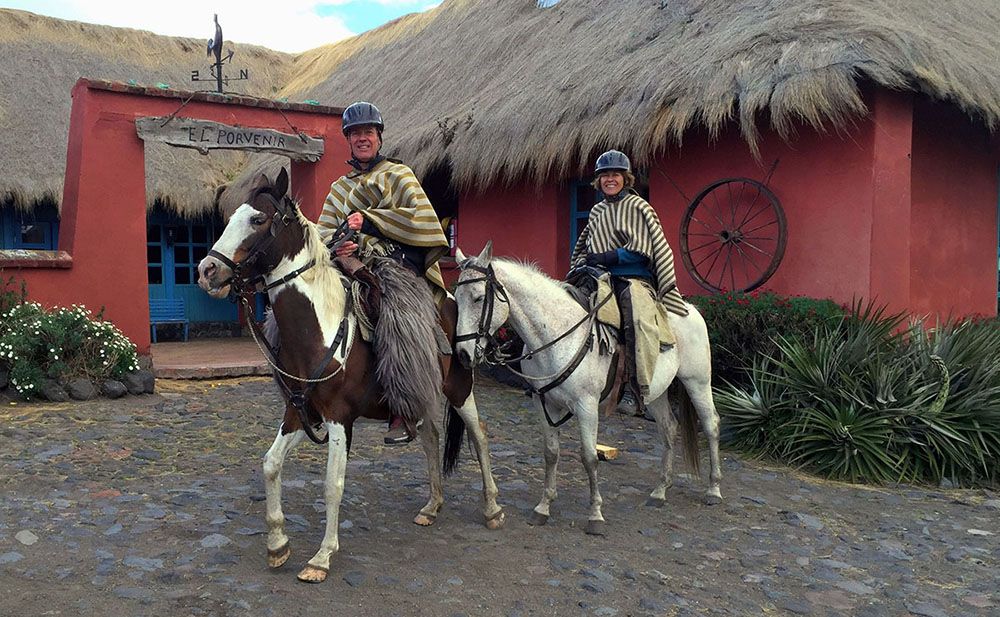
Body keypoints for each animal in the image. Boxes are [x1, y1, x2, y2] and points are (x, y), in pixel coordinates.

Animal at [197, 170, 508, 584]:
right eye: (231, 217)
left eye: (258, 220)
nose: (206, 271)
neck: (320, 327)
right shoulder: (299, 412)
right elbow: (270, 464)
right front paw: (278, 544)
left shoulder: (339, 418)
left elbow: (333, 484)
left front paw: (321, 556)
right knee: (431, 437)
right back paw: (432, 505)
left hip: (459, 389)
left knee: (480, 436)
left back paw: (492, 509)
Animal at [452, 241, 720, 536]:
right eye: (457, 298)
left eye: (478, 298)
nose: (463, 354)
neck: (557, 335)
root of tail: (690, 308)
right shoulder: (544, 404)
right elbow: (551, 453)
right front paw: (543, 507)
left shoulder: (587, 406)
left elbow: (589, 457)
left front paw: (595, 515)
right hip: (654, 391)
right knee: (669, 428)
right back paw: (660, 491)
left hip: (697, 382)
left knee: (711, 424)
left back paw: (713, 490)